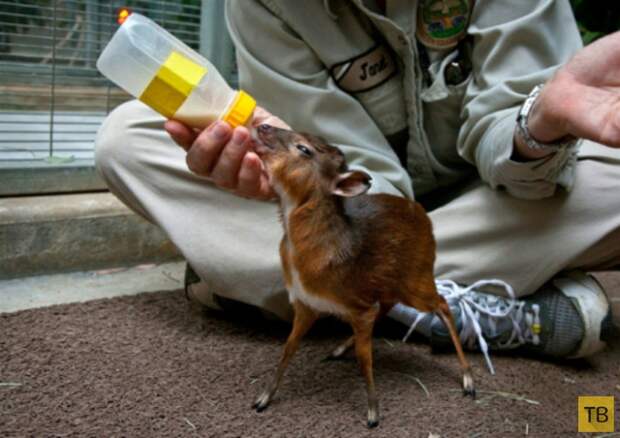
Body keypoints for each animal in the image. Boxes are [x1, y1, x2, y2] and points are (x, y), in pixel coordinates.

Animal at [252, 125, 474, 426]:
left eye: (304, 149)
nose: (262, 127)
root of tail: (425, 217)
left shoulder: (358, 307)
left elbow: (364, 358)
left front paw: (373, 412)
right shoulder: (306, 304)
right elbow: (288, 348)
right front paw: (264, 397)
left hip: (415, 279)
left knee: (442, 304)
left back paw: (468, 379)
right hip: (390, 284)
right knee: (389, 305)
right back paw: (338, 348)